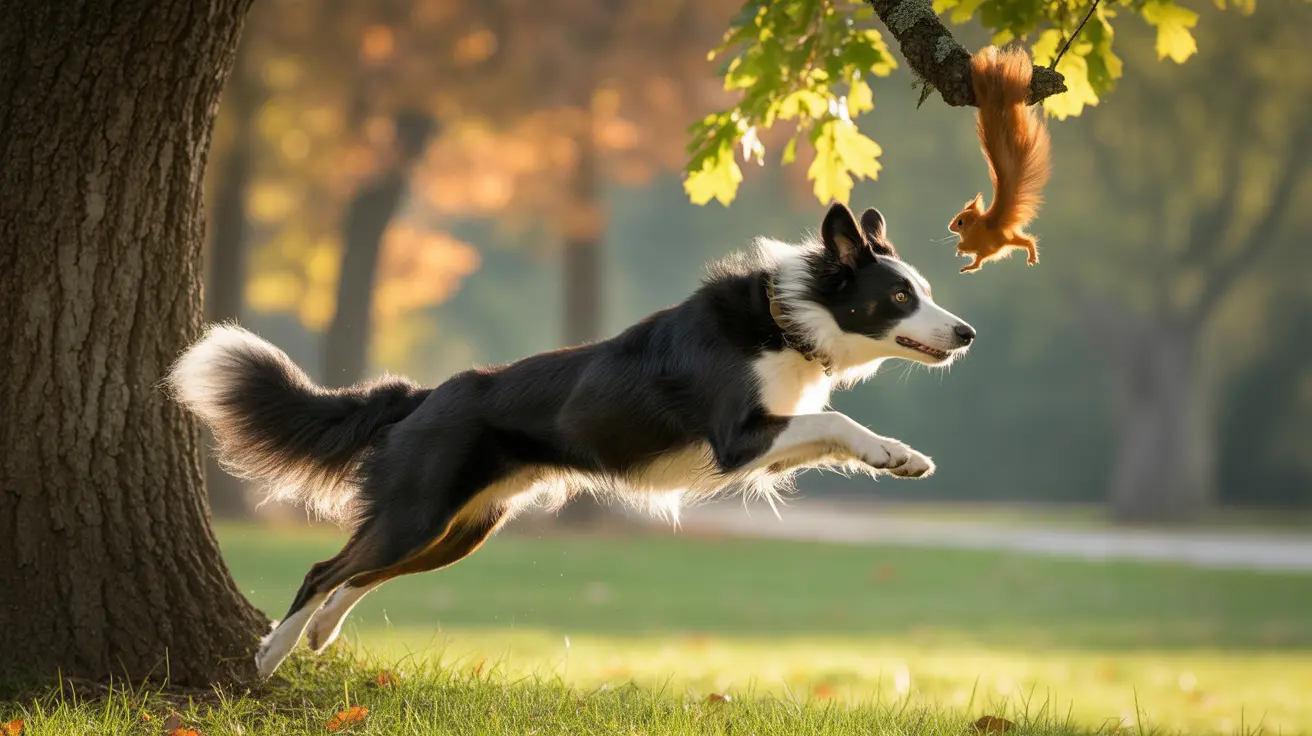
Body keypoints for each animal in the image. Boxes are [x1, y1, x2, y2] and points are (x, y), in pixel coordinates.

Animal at [949, 46, 1052, 274]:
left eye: (960, 222)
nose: (949, 227)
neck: (978, 226)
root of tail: (998, 223)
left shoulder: (975, 241)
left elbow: (966, 245)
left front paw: (959, 248)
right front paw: (958, 250)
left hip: (991, 247)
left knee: (980, 262)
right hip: (1008, 240)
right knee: (1024, 241)